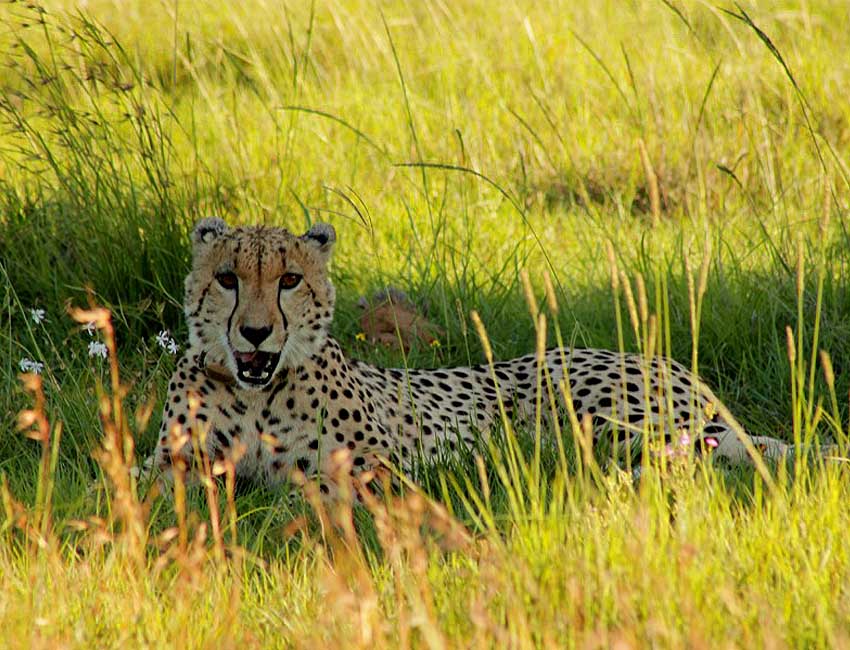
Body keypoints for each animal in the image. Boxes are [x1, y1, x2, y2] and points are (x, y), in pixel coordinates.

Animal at [152, 217, 792, 495]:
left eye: (289, 280)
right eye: (228, 279)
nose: (256, 333)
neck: (256, 392)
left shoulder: (379, 473)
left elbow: (319, 490)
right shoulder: (170, 469)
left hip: (604, 414)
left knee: (696, 451)